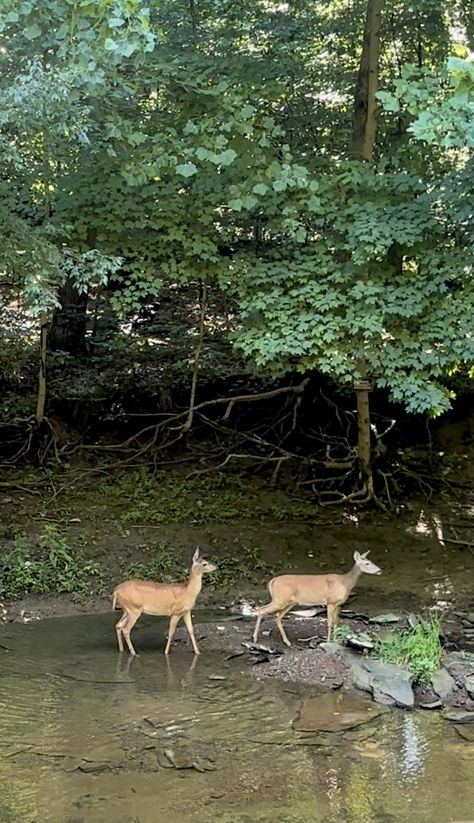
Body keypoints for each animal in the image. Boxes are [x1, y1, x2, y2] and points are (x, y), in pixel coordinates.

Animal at [252, 552, 382, 652]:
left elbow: (336, 622)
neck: (345, 583)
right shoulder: (330, 602)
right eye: (367, 563)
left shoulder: (338, 604)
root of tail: (272, 581)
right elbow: (329, 623)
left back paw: (287, 642)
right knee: (261, 609)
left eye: (371, 561)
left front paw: (336, 641)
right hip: (280, 599)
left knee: (277, 616)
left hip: (288, 602)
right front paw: (328, 642)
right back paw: (254, 639)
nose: (380, 570)